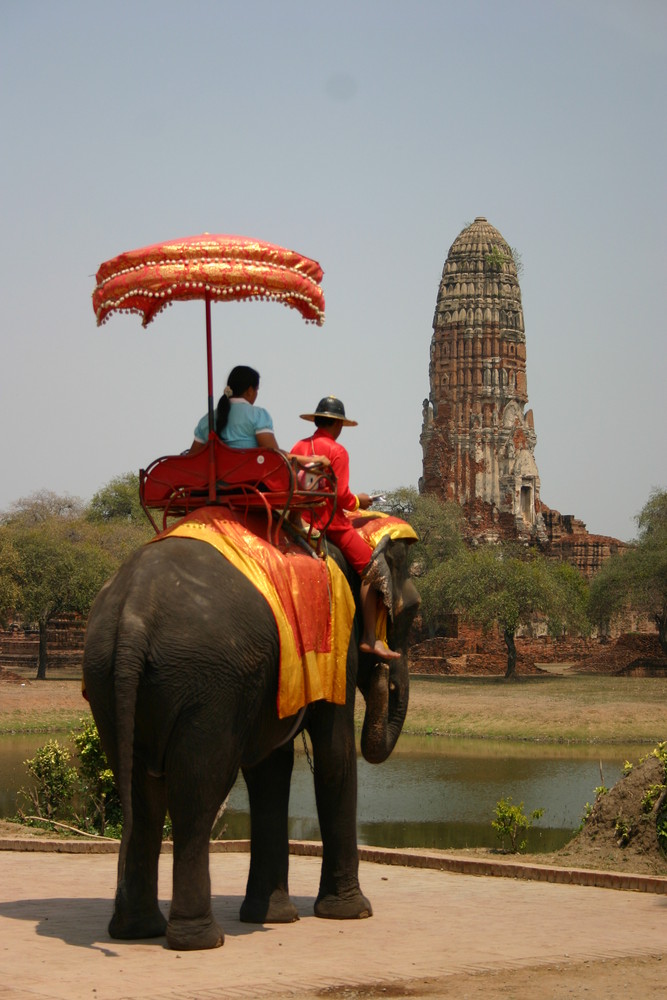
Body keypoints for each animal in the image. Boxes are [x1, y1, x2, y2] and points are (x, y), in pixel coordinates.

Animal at [82, 528, 418, 948]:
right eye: (414, 611)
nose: (385, 667)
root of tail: (134, 617)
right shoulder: (338, 646)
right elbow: (333, 757)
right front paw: (352, 912)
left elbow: (270, 768)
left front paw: (273, 917)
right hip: (208, 680)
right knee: (196, 790)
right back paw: (200, 939)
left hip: (107, 675)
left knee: (141, 792)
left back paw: (137, 931)